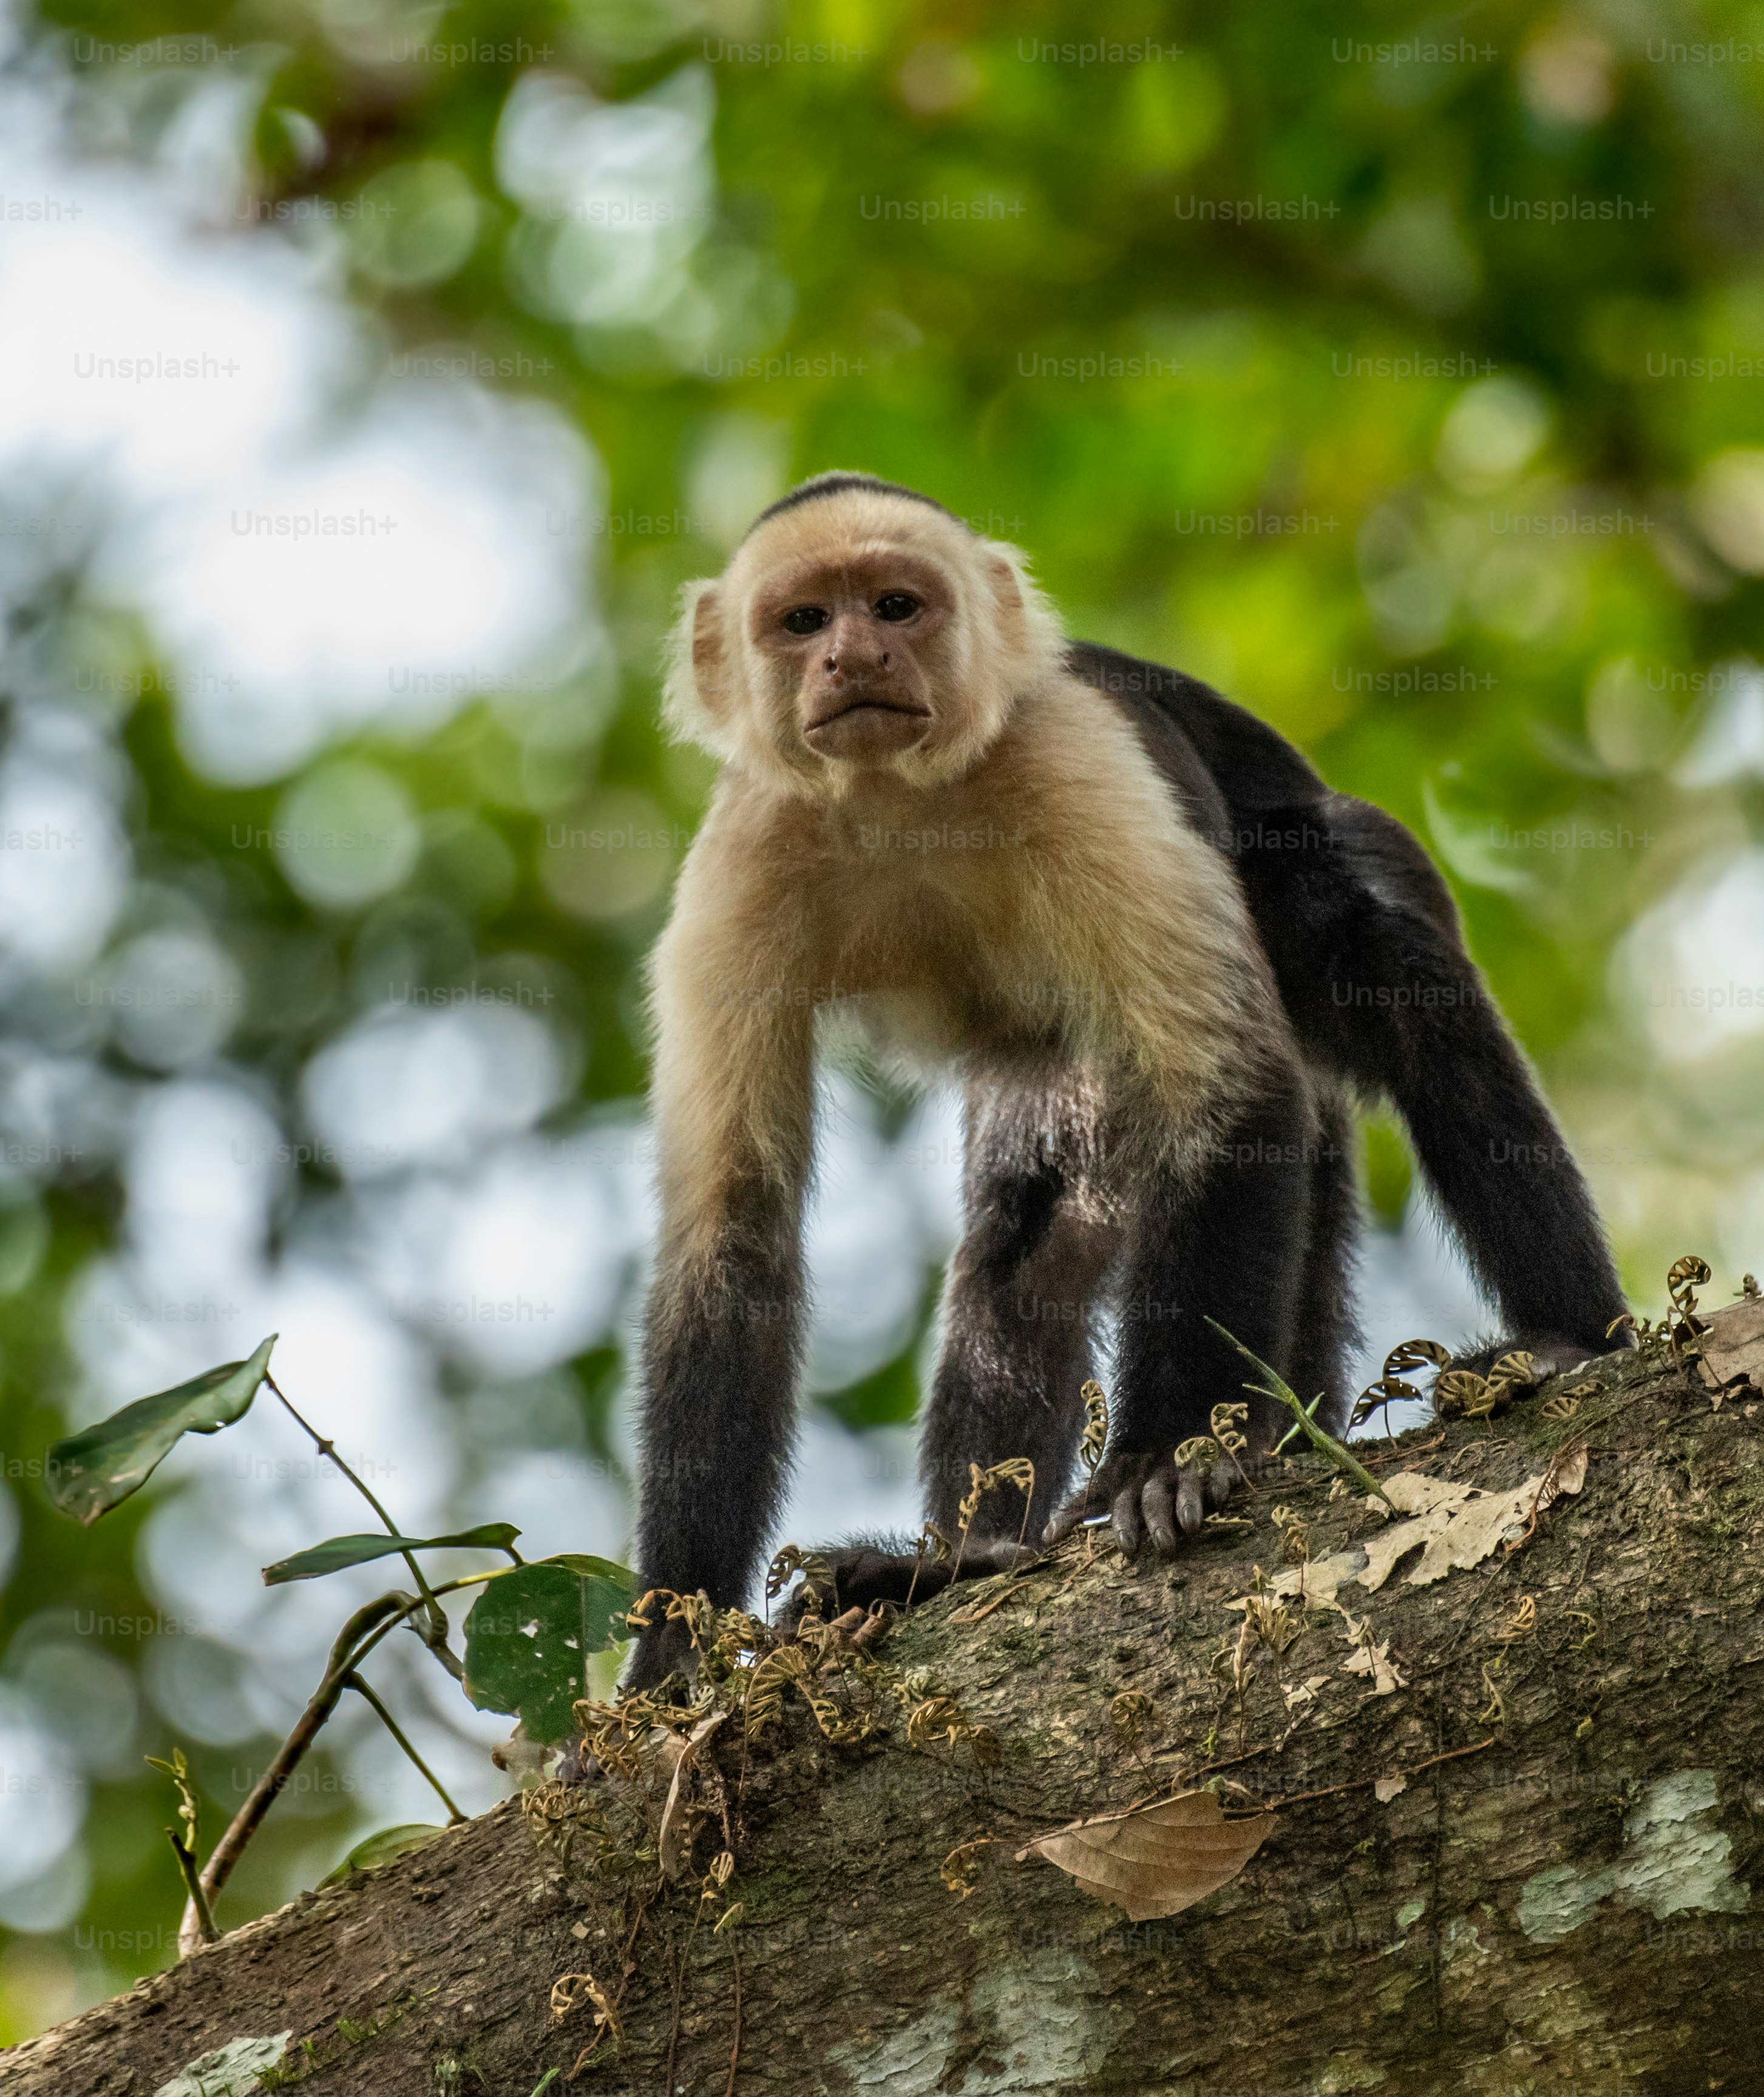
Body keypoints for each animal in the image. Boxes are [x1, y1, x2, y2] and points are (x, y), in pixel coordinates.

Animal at [625, 472, 1628, 1691]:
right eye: (805, 619)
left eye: (896, 604)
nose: (855, 657)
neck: (901, 799)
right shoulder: (744, 856)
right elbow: (734, 1237)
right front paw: (669, 1656)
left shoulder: (1072, 751)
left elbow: (1224, 1088)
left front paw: (1164, 1456)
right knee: (1033, 1219)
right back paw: (964, 1560)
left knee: (1374, 955)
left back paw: (1563, 1338)